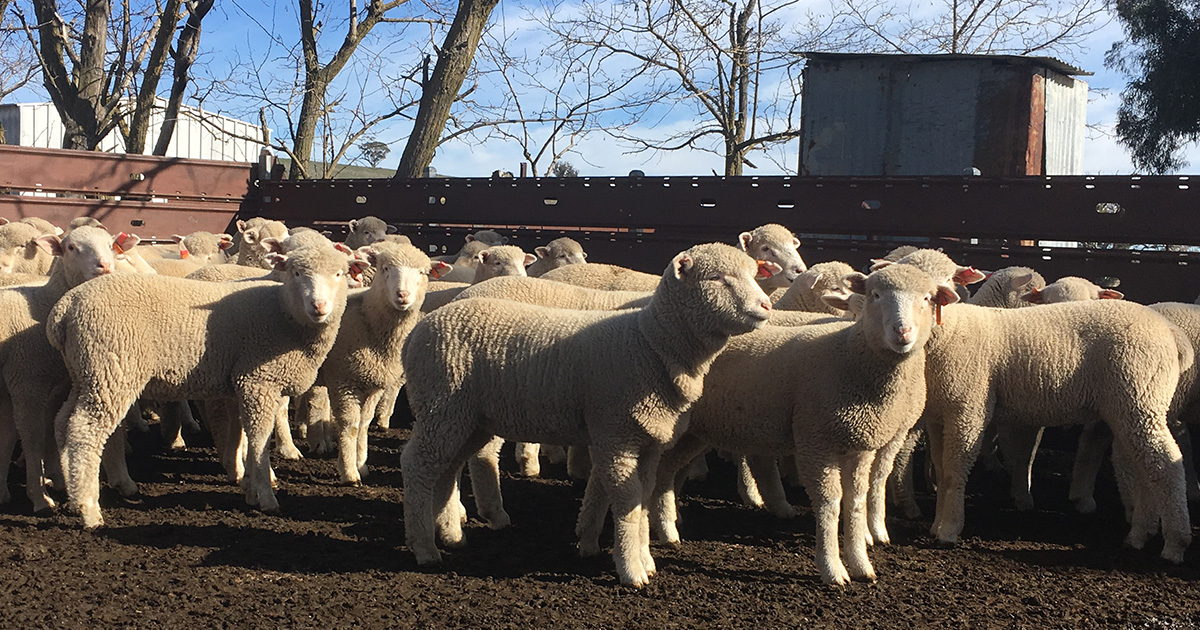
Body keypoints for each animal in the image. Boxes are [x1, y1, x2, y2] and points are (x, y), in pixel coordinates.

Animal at [49, 243, 350, 528]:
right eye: (296, 273)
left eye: (339, 274)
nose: (319, 306)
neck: (283, 313)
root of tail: (65, 309)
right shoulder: (258, 381)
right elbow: (259, 438)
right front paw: (265, 495)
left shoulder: (239, 383)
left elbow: (240, 433)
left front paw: (247, 484)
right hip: (111, 370)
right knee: (85, 432)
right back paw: (89, 509)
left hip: (85, 374)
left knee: (63, 423)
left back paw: (74, 493)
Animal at [398, 242, 772, 585]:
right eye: (717, 278)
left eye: (754, 274)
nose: (766, 305)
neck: (651, 344)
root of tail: (420, 329)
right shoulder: (617, 434)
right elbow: (627, 499)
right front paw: (632, 570)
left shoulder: (648, 440)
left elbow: (644, 497)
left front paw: (643, 558)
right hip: (442, 405)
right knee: (418, 464)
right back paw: (424, 547)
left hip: (467, 417)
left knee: (448, 467)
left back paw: (450, 534)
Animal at [638, 262, 955, 583]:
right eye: (875, 295)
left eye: (927, 298)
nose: (902, 332)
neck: (850, 357)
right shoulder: (816, 441)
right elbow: (829, 503)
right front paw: (832, 569)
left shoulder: (860, 445)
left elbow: (855, 501)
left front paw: (861, 564)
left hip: (696, 432)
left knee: (667, 472)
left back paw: (668, 529)